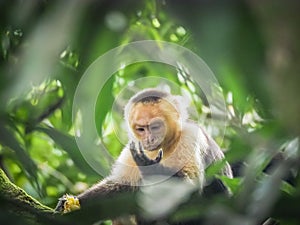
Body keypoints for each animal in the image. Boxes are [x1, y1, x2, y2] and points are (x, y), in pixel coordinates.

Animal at [56, 89, 234, 224]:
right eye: (141, 129)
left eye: (155, 127)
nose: (149, 140)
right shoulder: (132, 148)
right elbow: (120, 186)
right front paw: (73, 203)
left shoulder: (189, 137)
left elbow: (188, 191)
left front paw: (147, 164)